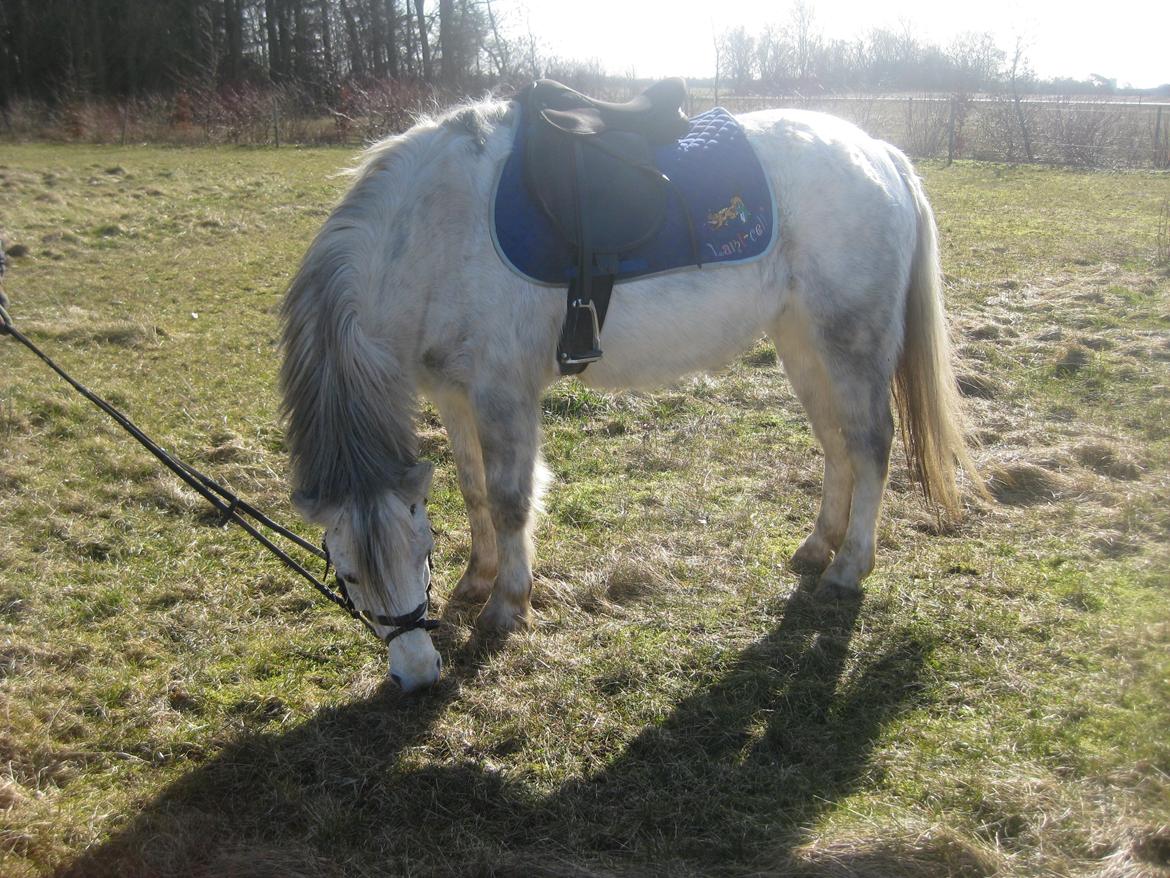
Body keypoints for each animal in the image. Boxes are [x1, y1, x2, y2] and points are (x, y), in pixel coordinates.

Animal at [280, 97, 978, 693]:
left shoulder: (503, 392)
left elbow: (509, 501)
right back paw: (817, 547)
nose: (418, 676)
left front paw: (507, 606)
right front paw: (477, 579)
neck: (433, 230)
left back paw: (848, 566)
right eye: (347, 573)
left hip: (850, 343)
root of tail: (878, 152)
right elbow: (474, 489)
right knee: (836, 444)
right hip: (802, 343)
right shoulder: (453, 393)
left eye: (419, 553)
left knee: (871, 446)